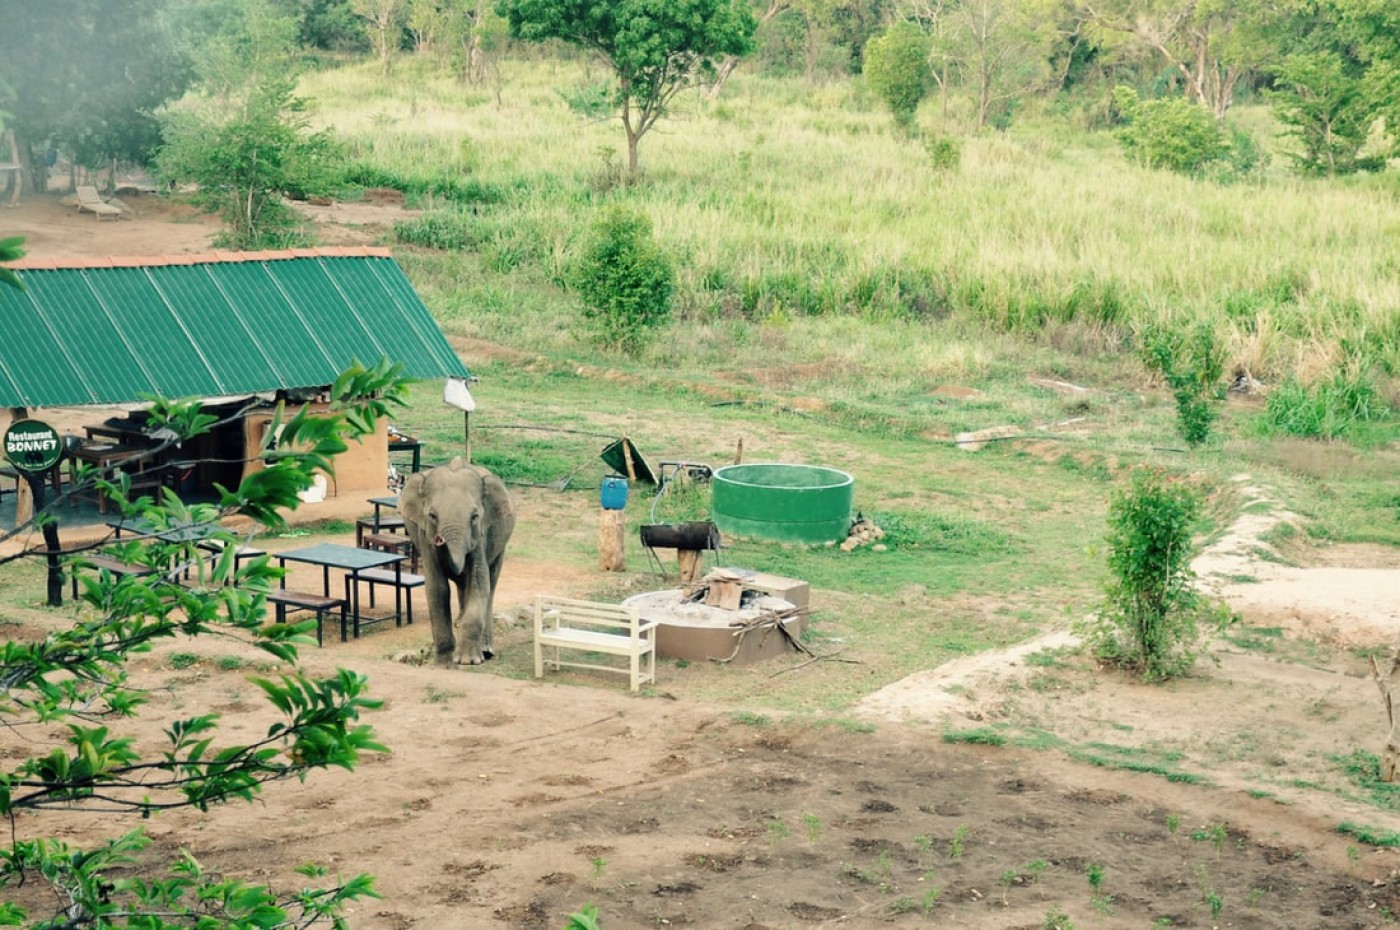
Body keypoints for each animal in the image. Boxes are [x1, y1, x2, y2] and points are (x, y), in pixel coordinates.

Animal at [399, 457, 516, 666]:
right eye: (432, 516)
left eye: (475, 516)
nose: (439, 539)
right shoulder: (424, 537)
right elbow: (437, 587)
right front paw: (444, 661)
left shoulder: (480, 534)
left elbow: (479, 582)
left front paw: (467, 661)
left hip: (501, 545)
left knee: (490, 584)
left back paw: (486, 651)